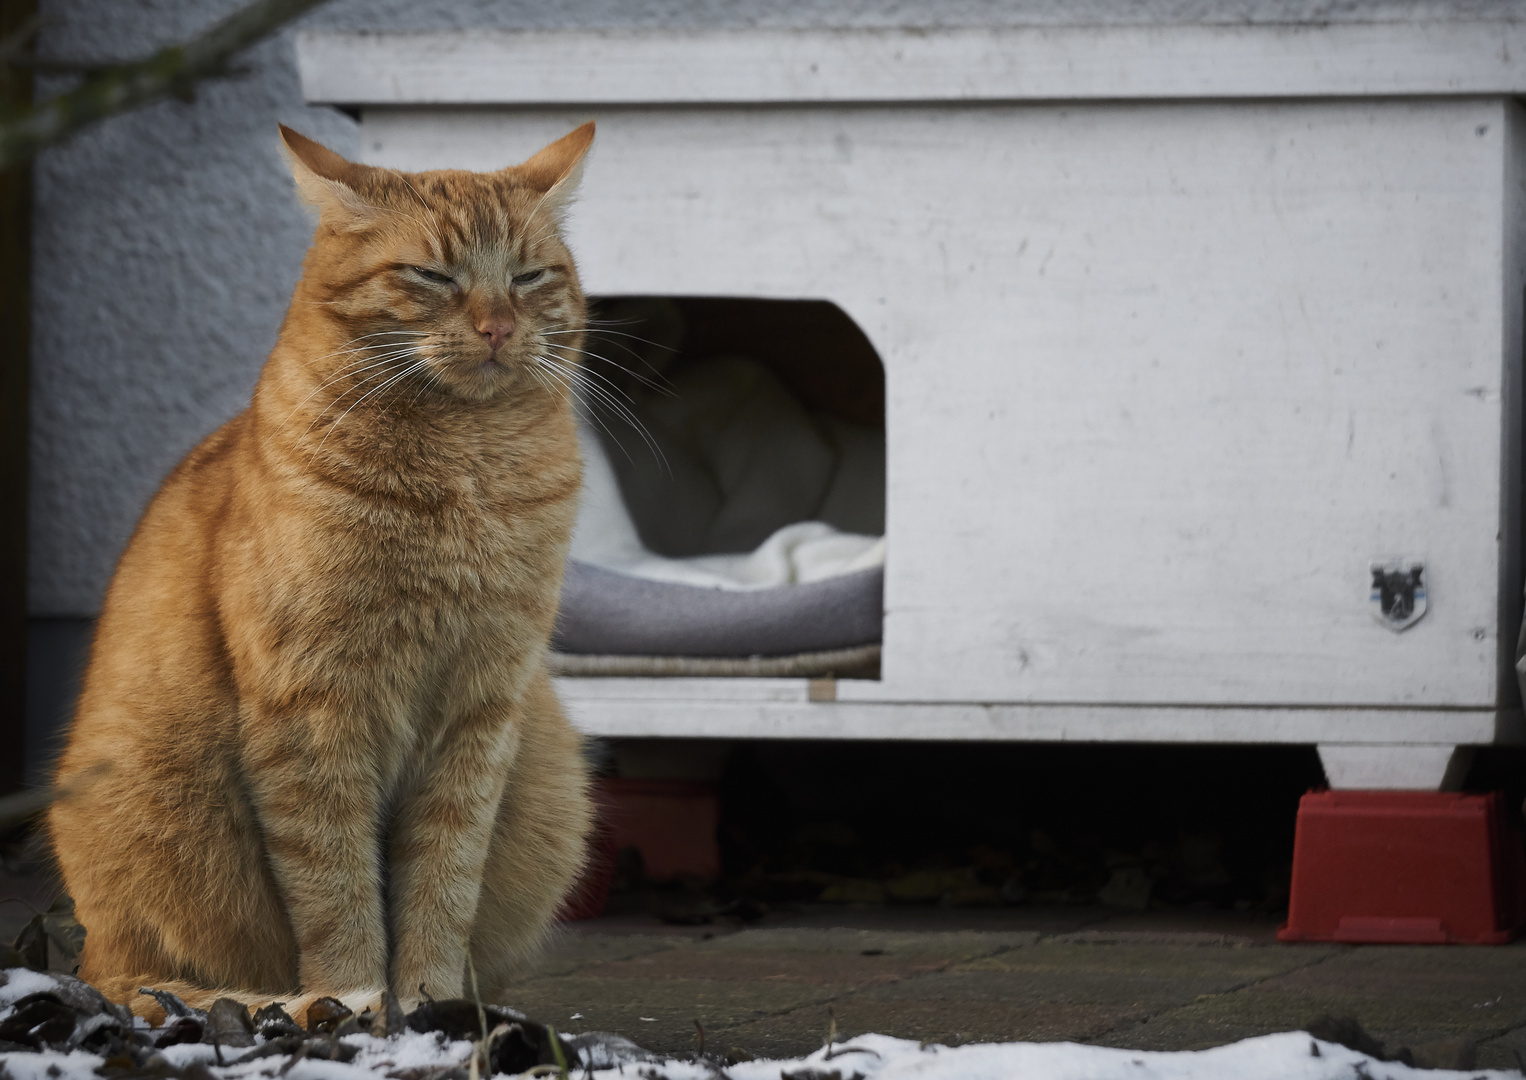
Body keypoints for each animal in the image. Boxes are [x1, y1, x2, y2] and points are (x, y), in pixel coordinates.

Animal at [49, 124, 595, 1018]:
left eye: (527, 276)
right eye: (432, 275)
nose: (496, 326)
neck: (468, 470)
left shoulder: (483, 710)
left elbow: (445, 874)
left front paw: (429, 1000)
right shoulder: (310, 710)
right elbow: (334, 879)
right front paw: (358, 1000)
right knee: (140, 981)